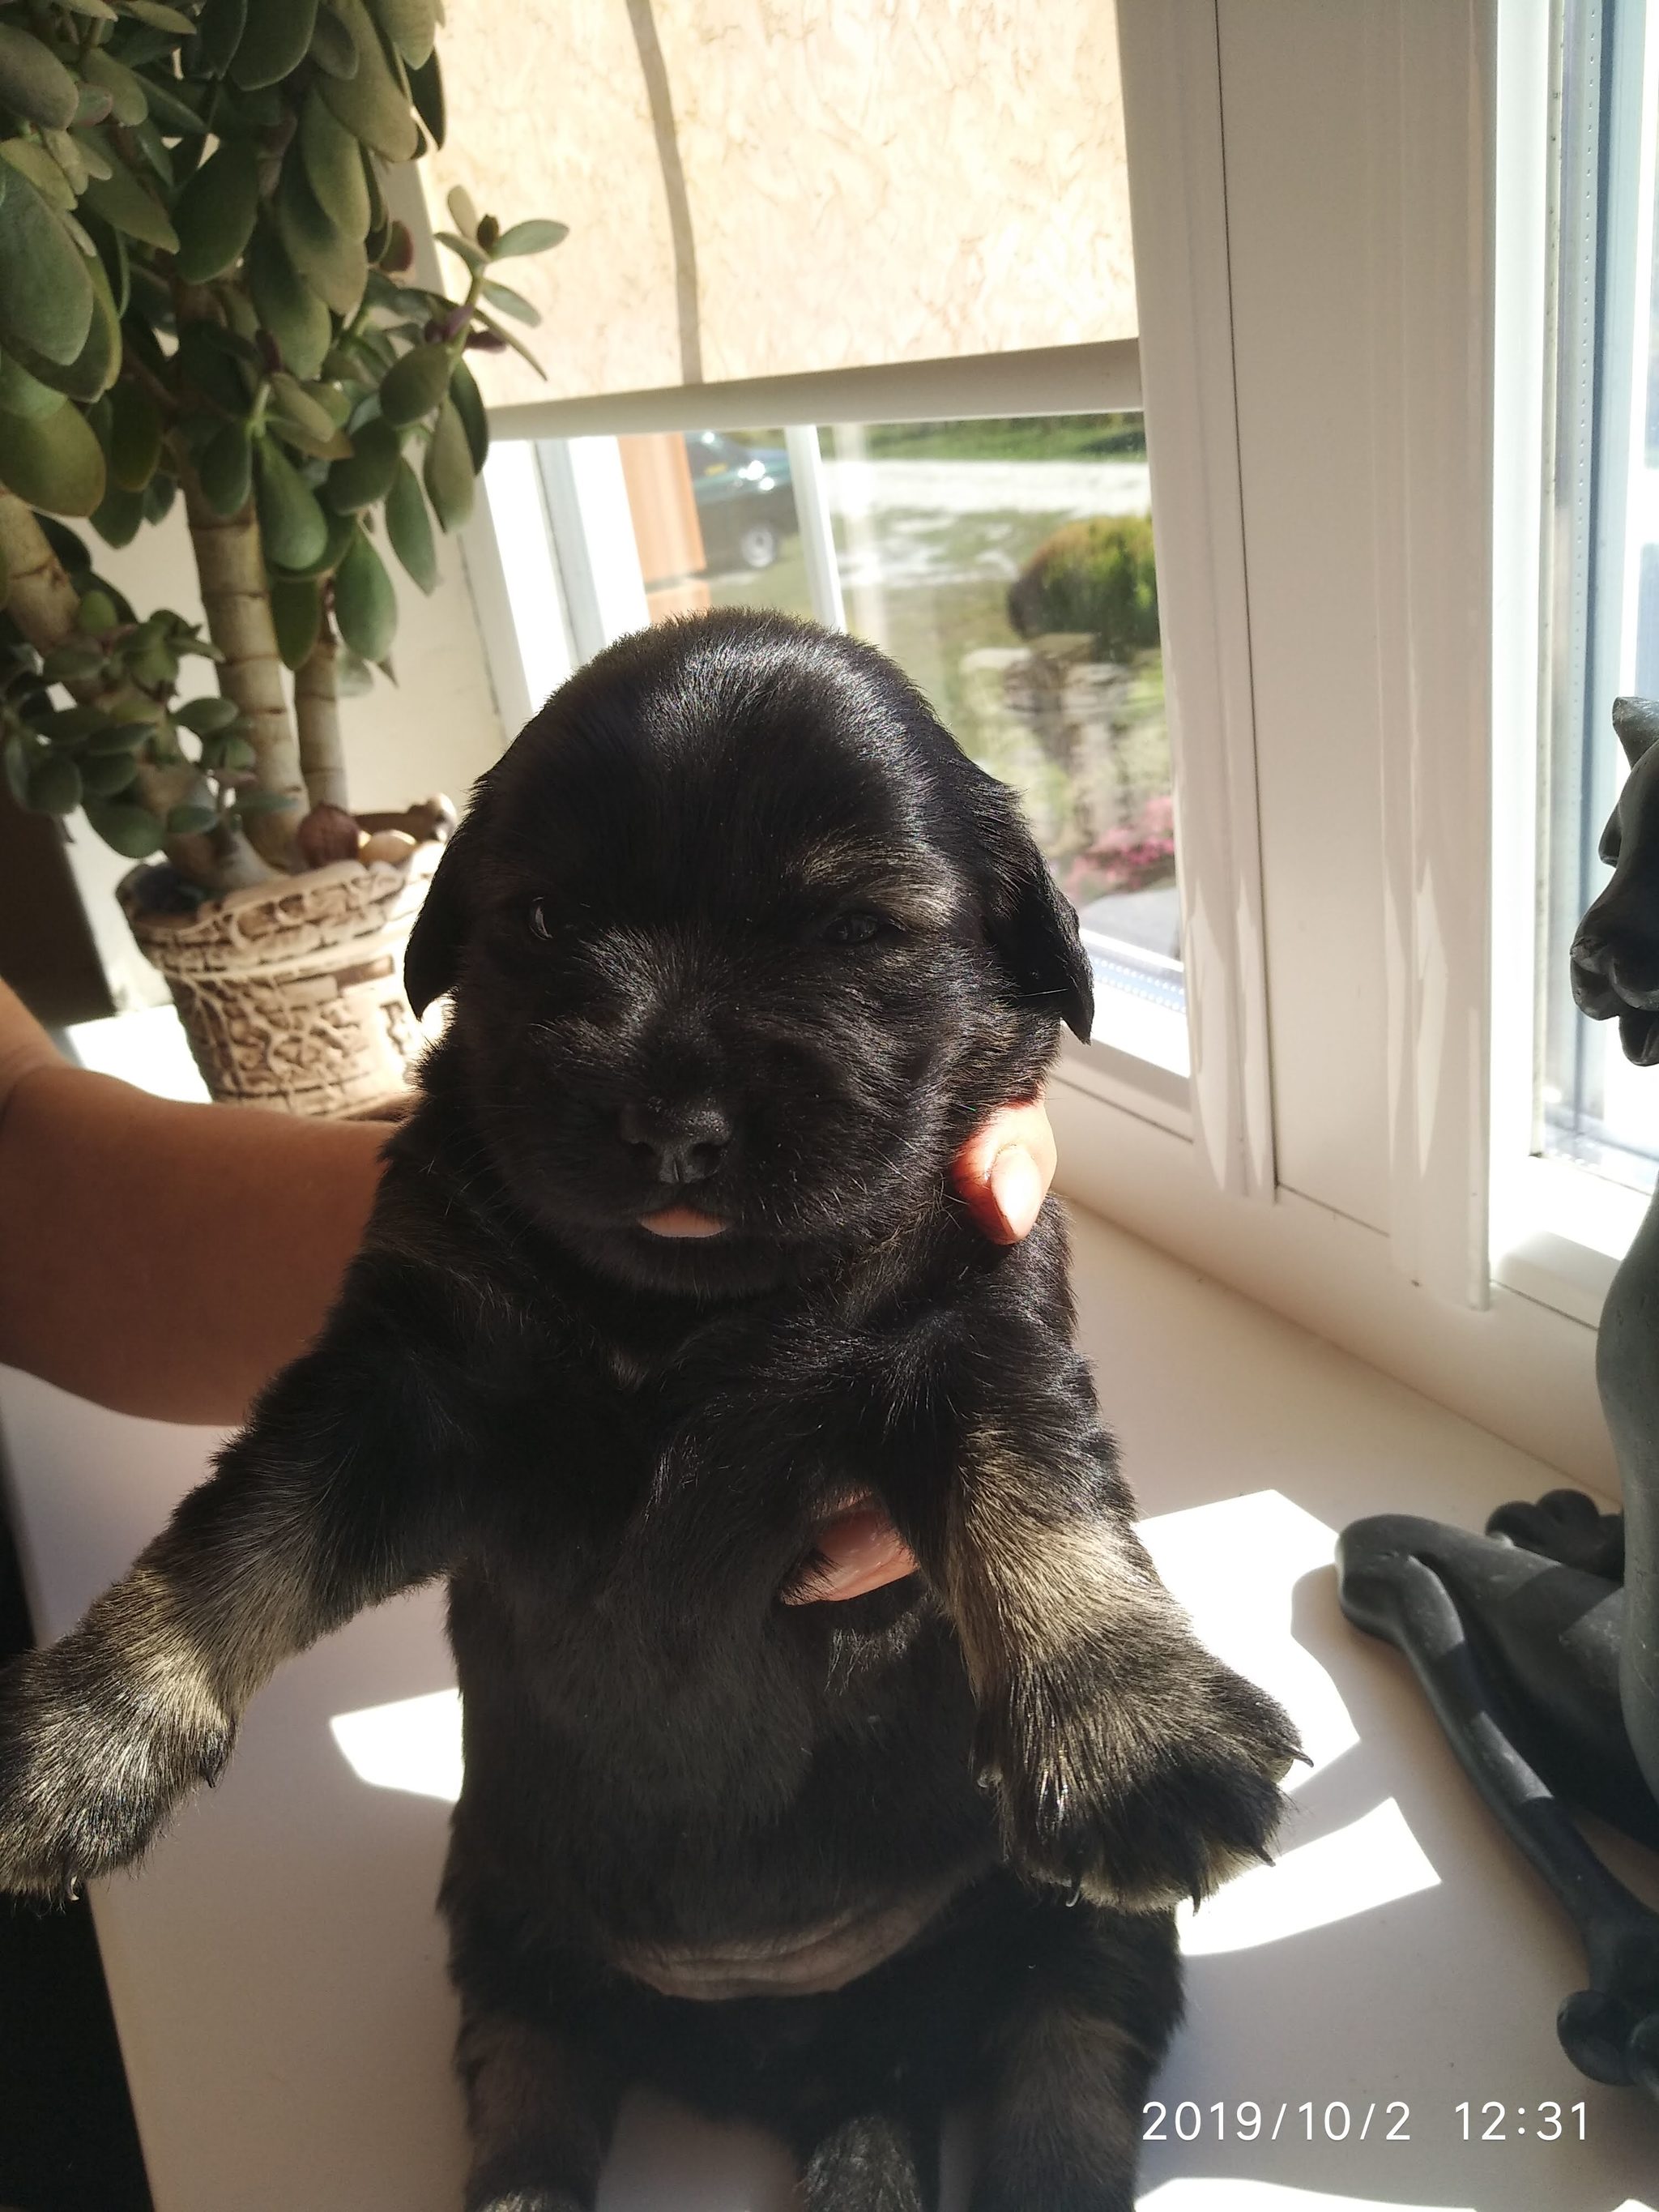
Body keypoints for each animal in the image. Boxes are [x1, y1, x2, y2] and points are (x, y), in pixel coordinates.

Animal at [0, 610, 1299, 2210]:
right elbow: (235, 1537)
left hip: (1076, 1935)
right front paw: (80, 1739)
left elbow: (1038, 1501)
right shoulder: (403, 1377)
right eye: (549, 919)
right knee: (533, 2090)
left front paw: (1135, 1723)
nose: (671, 1127)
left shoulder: (975, 1328)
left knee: (1064, 2072)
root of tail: (809, 2058)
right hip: (505, 1930)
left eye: (856, 932)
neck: (680, 1321)